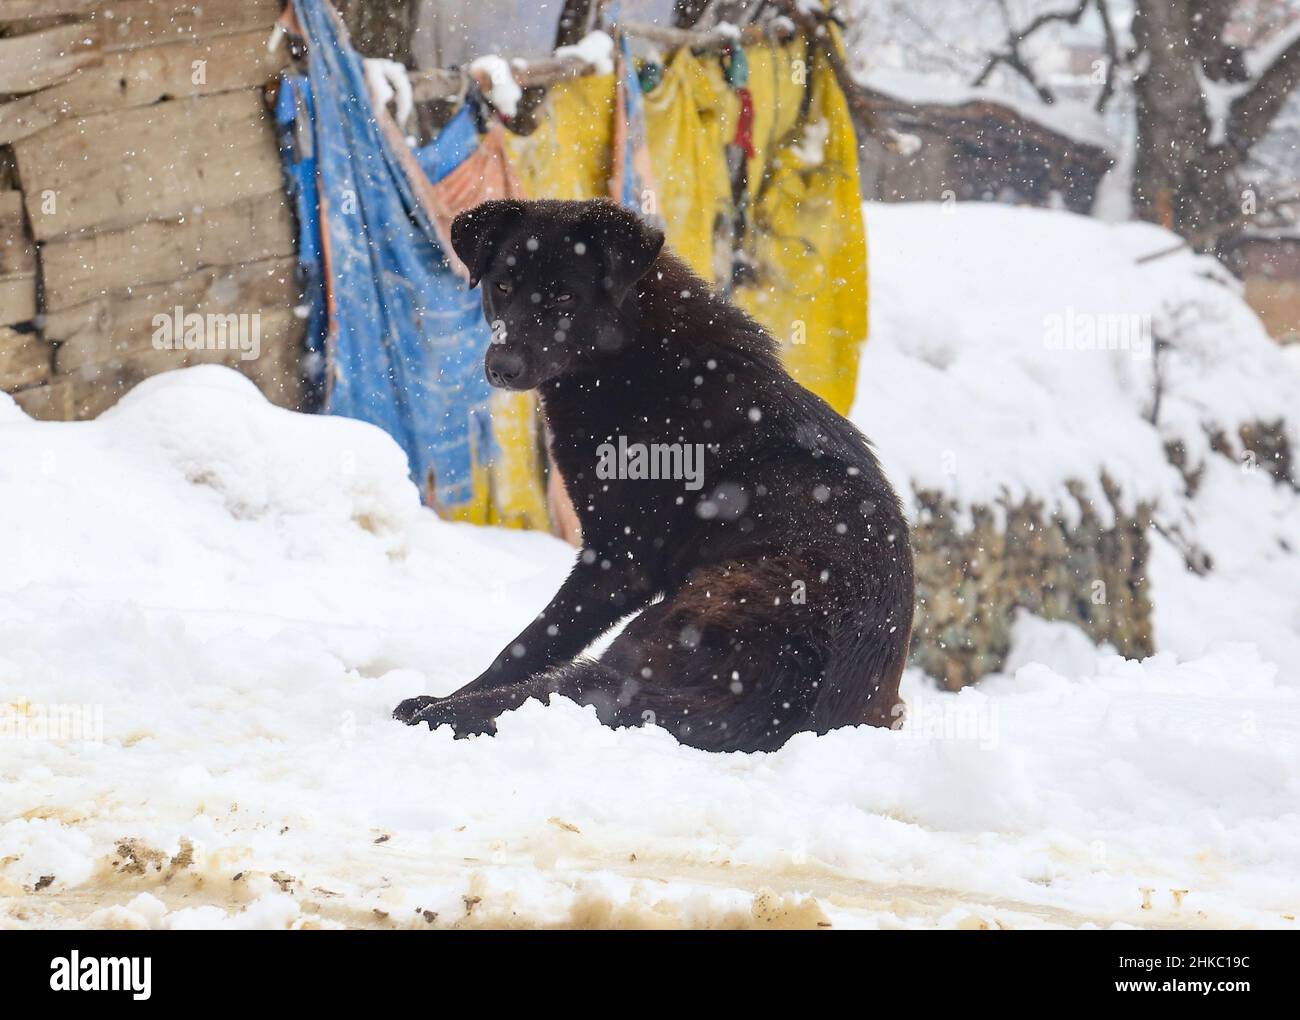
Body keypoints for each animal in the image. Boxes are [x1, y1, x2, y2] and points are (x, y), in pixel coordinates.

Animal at [395, 198, 915, 753]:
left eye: (564, 296)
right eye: (504, 286)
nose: (501, 366)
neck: (634, 357)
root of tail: (785, 696)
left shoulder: (616, 562)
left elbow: (528, 645)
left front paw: (447, 699)